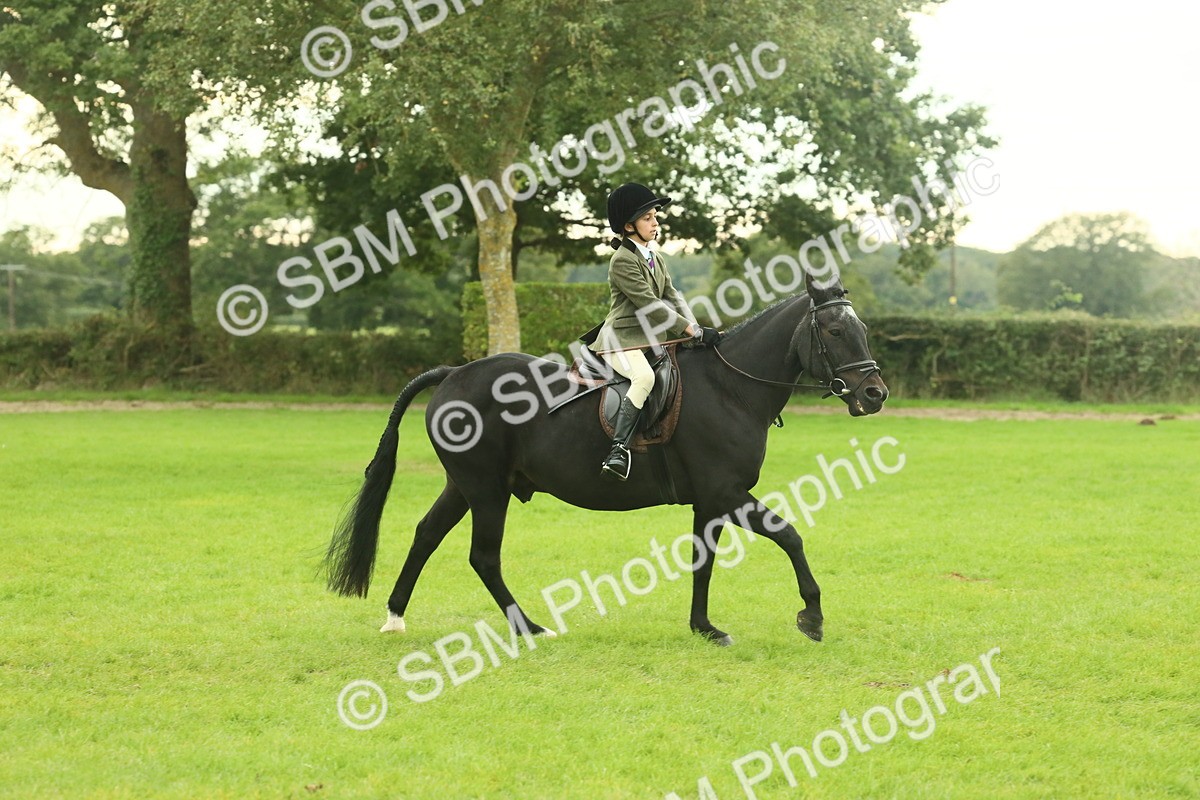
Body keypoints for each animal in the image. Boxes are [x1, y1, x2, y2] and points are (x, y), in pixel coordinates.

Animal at [323, 271, 888, 645]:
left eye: (861, 329)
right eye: (835, 332)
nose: (875, 394)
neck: (731, 387)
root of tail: (454, 373)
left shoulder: (709, 501)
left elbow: (702, 563)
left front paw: (703, 628)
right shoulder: (726, 492)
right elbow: (789, 535)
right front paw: (811, 616)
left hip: (466, 485)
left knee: (426, 535)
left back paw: (395, 617)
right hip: (486, 490)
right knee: (482, 556)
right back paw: (529, 627)